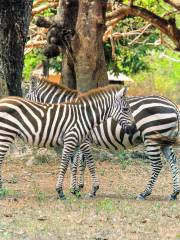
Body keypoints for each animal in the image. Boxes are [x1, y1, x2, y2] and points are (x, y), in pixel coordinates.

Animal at [0, 84, 134, 199]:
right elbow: (71, 164)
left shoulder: (77, 143)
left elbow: (74, 164)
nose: (133, 129)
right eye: (125, 109)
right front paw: (63, 191)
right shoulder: (72, 140)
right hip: (6, 133)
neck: (83, 117)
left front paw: (75, 190)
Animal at [26, 79, 180, 201]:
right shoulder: (79, 139)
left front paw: (89, 190)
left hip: (151, 138)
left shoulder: (83, 140)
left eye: (27, 97)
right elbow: (77, 164)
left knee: (157, 165)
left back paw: (144, 193)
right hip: (165, 140)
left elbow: (85, 163)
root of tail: (173, 105)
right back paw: (174, 193)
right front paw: (77, 187)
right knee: (173, 161)